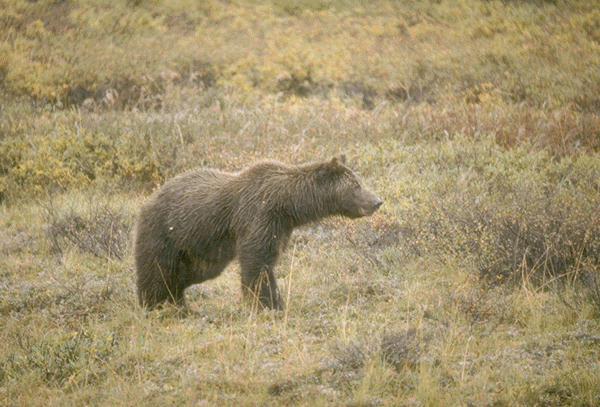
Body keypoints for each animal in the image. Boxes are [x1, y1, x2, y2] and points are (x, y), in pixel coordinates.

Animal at [134, 155, 382, 310]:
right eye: (356, 185)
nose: (377, 201)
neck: (288, 205)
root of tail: (150, 199)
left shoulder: (280, 228)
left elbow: (266, 260)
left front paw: (274, 303)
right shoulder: (259, 215)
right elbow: (257, 262)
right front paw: (268, 305)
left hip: (197, 250)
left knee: (186, 274)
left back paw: (178, 302)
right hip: (165, 233)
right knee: (157, 271)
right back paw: (156, 305)